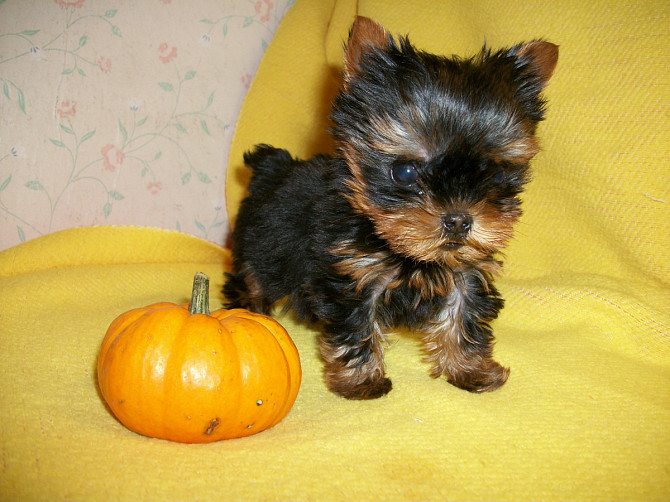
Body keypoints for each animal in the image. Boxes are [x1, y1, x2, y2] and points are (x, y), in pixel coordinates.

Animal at [226, 16, 556, 400]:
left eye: (498, 173)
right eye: (405, 172)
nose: (459, 221)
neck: (414, 258)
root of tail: (274, 167)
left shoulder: (468, 273)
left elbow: (463, 318)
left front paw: (470, 370)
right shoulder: (353, 275)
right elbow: (357, 328)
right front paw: (360, 382)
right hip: (259, 248)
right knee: (250, 279)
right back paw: (248, 312)